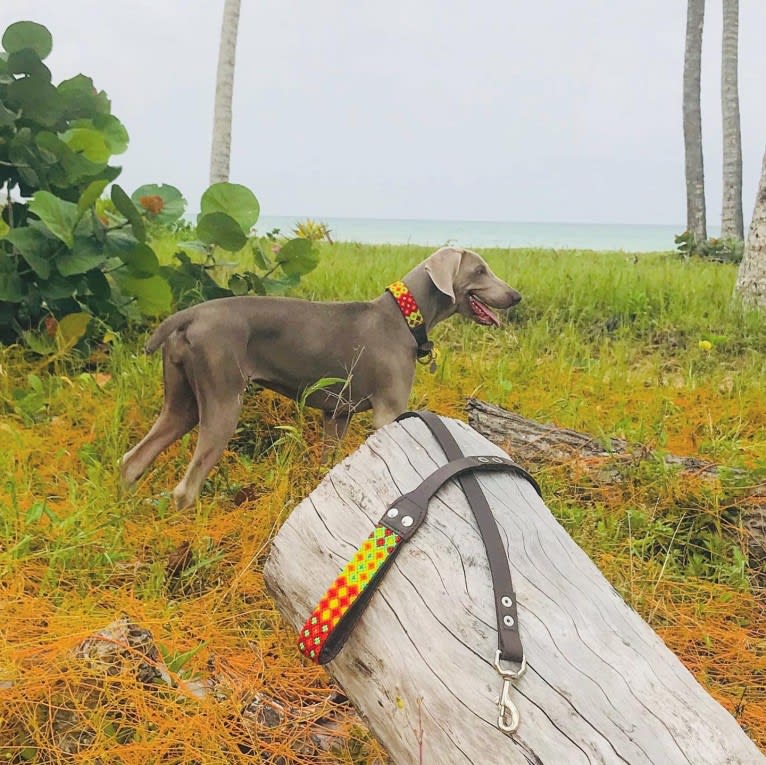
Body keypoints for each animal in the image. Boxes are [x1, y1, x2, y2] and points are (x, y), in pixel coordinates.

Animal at [121, 246, 520, 508]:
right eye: (481, 270)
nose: (516, 295)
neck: (405, 317)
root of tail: (189, 315)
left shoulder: (337, 416)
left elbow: (329, 464)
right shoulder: (388, 412)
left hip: (183, 401)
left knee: (132, 460)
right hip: (222, 398)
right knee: (185, 489)